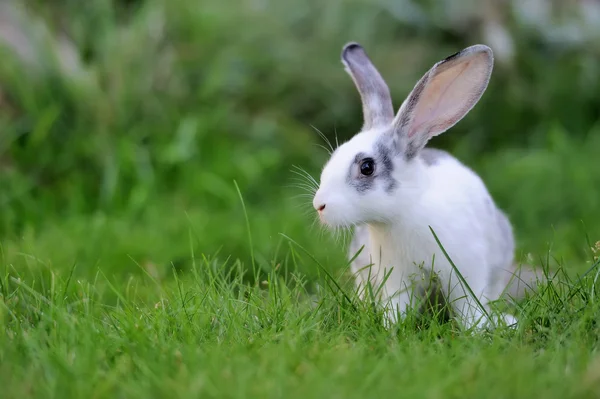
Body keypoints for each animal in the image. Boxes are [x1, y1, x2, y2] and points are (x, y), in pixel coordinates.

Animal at [312, 43, 540, 332]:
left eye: (367, 167)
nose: (319, 205)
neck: (403, 213)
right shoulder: (395, 277)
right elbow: (397, 305)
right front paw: (391, 326)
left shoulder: (466, 268)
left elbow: (469, 306)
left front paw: (477, 328)